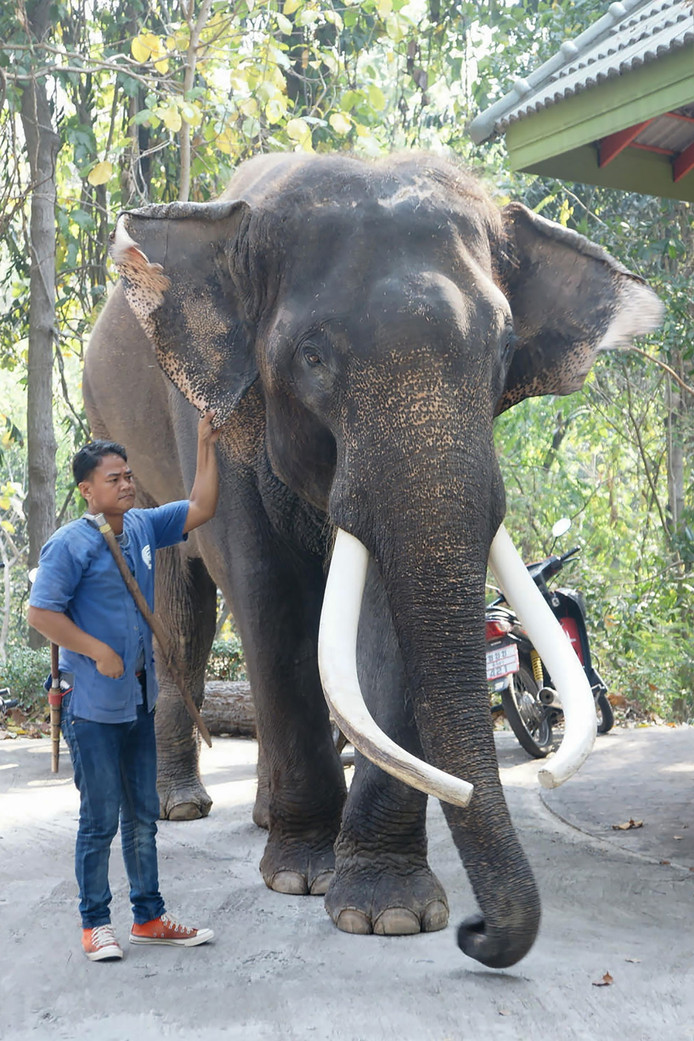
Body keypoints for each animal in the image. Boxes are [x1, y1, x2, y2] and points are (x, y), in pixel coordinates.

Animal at [82, 148, 661, 966]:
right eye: (313, 357)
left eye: (502, 352)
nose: (477, 931)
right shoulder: (213, 421)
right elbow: (269, 595)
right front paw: (301, 878)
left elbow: (386, 625)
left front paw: (389, 912)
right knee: (185, 607)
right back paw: (186, 807)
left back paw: (265, 818)